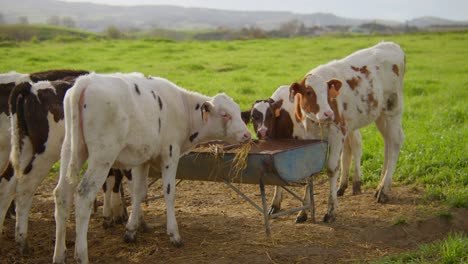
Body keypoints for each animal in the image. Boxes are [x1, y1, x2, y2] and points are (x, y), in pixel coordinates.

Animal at [52, 72, 250, 264]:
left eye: (238, 112)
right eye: (225, 114)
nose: (247, 135)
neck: (182, 107)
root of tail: (86, 81)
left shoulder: (142, 160)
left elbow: (139, 192)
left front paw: (131, 230)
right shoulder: (170, 153)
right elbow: (169, 193)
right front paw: (174, 234)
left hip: (71, 150)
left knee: (62, 194)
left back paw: (59, 255)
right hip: (102, 156)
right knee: (83, 195)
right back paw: (81, 255)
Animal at [243, 85, 364, 222]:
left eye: (271, 114)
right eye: (253, 116)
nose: (262, 132)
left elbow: (308, 177)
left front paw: (303, 212)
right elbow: (277, 178)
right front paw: (275, 205)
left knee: (356, 145)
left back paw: (356, 184)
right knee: (346, 151)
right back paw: (341, 187)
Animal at [288, 41, 406, 222]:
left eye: (328, 92)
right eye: (308, 92)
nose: (328, 113)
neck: (315, 122)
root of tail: (391, 44)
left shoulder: (338, 133)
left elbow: (331, 168)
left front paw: (330, 211)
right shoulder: (308, 139)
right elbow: (309, 172)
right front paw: (303, 213)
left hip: (392, 109)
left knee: (395, 142)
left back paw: (384, 190)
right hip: (380, 115)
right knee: (388, 143)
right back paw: (380, 186)